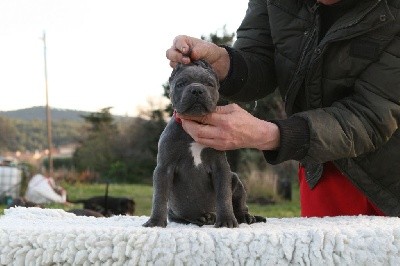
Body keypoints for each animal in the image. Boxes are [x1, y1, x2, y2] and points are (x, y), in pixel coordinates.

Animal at [142, 60, 264, 229]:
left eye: (209, 84)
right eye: (181, 84)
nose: (197, 90)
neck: (195, 124)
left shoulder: (221, 169)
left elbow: (224, 195)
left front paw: (226, 220)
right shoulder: (164, 169)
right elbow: (159, 196)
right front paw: (155, 222)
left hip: (235, 180)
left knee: (239, 202)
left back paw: (243, 216)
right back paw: (203, 218)